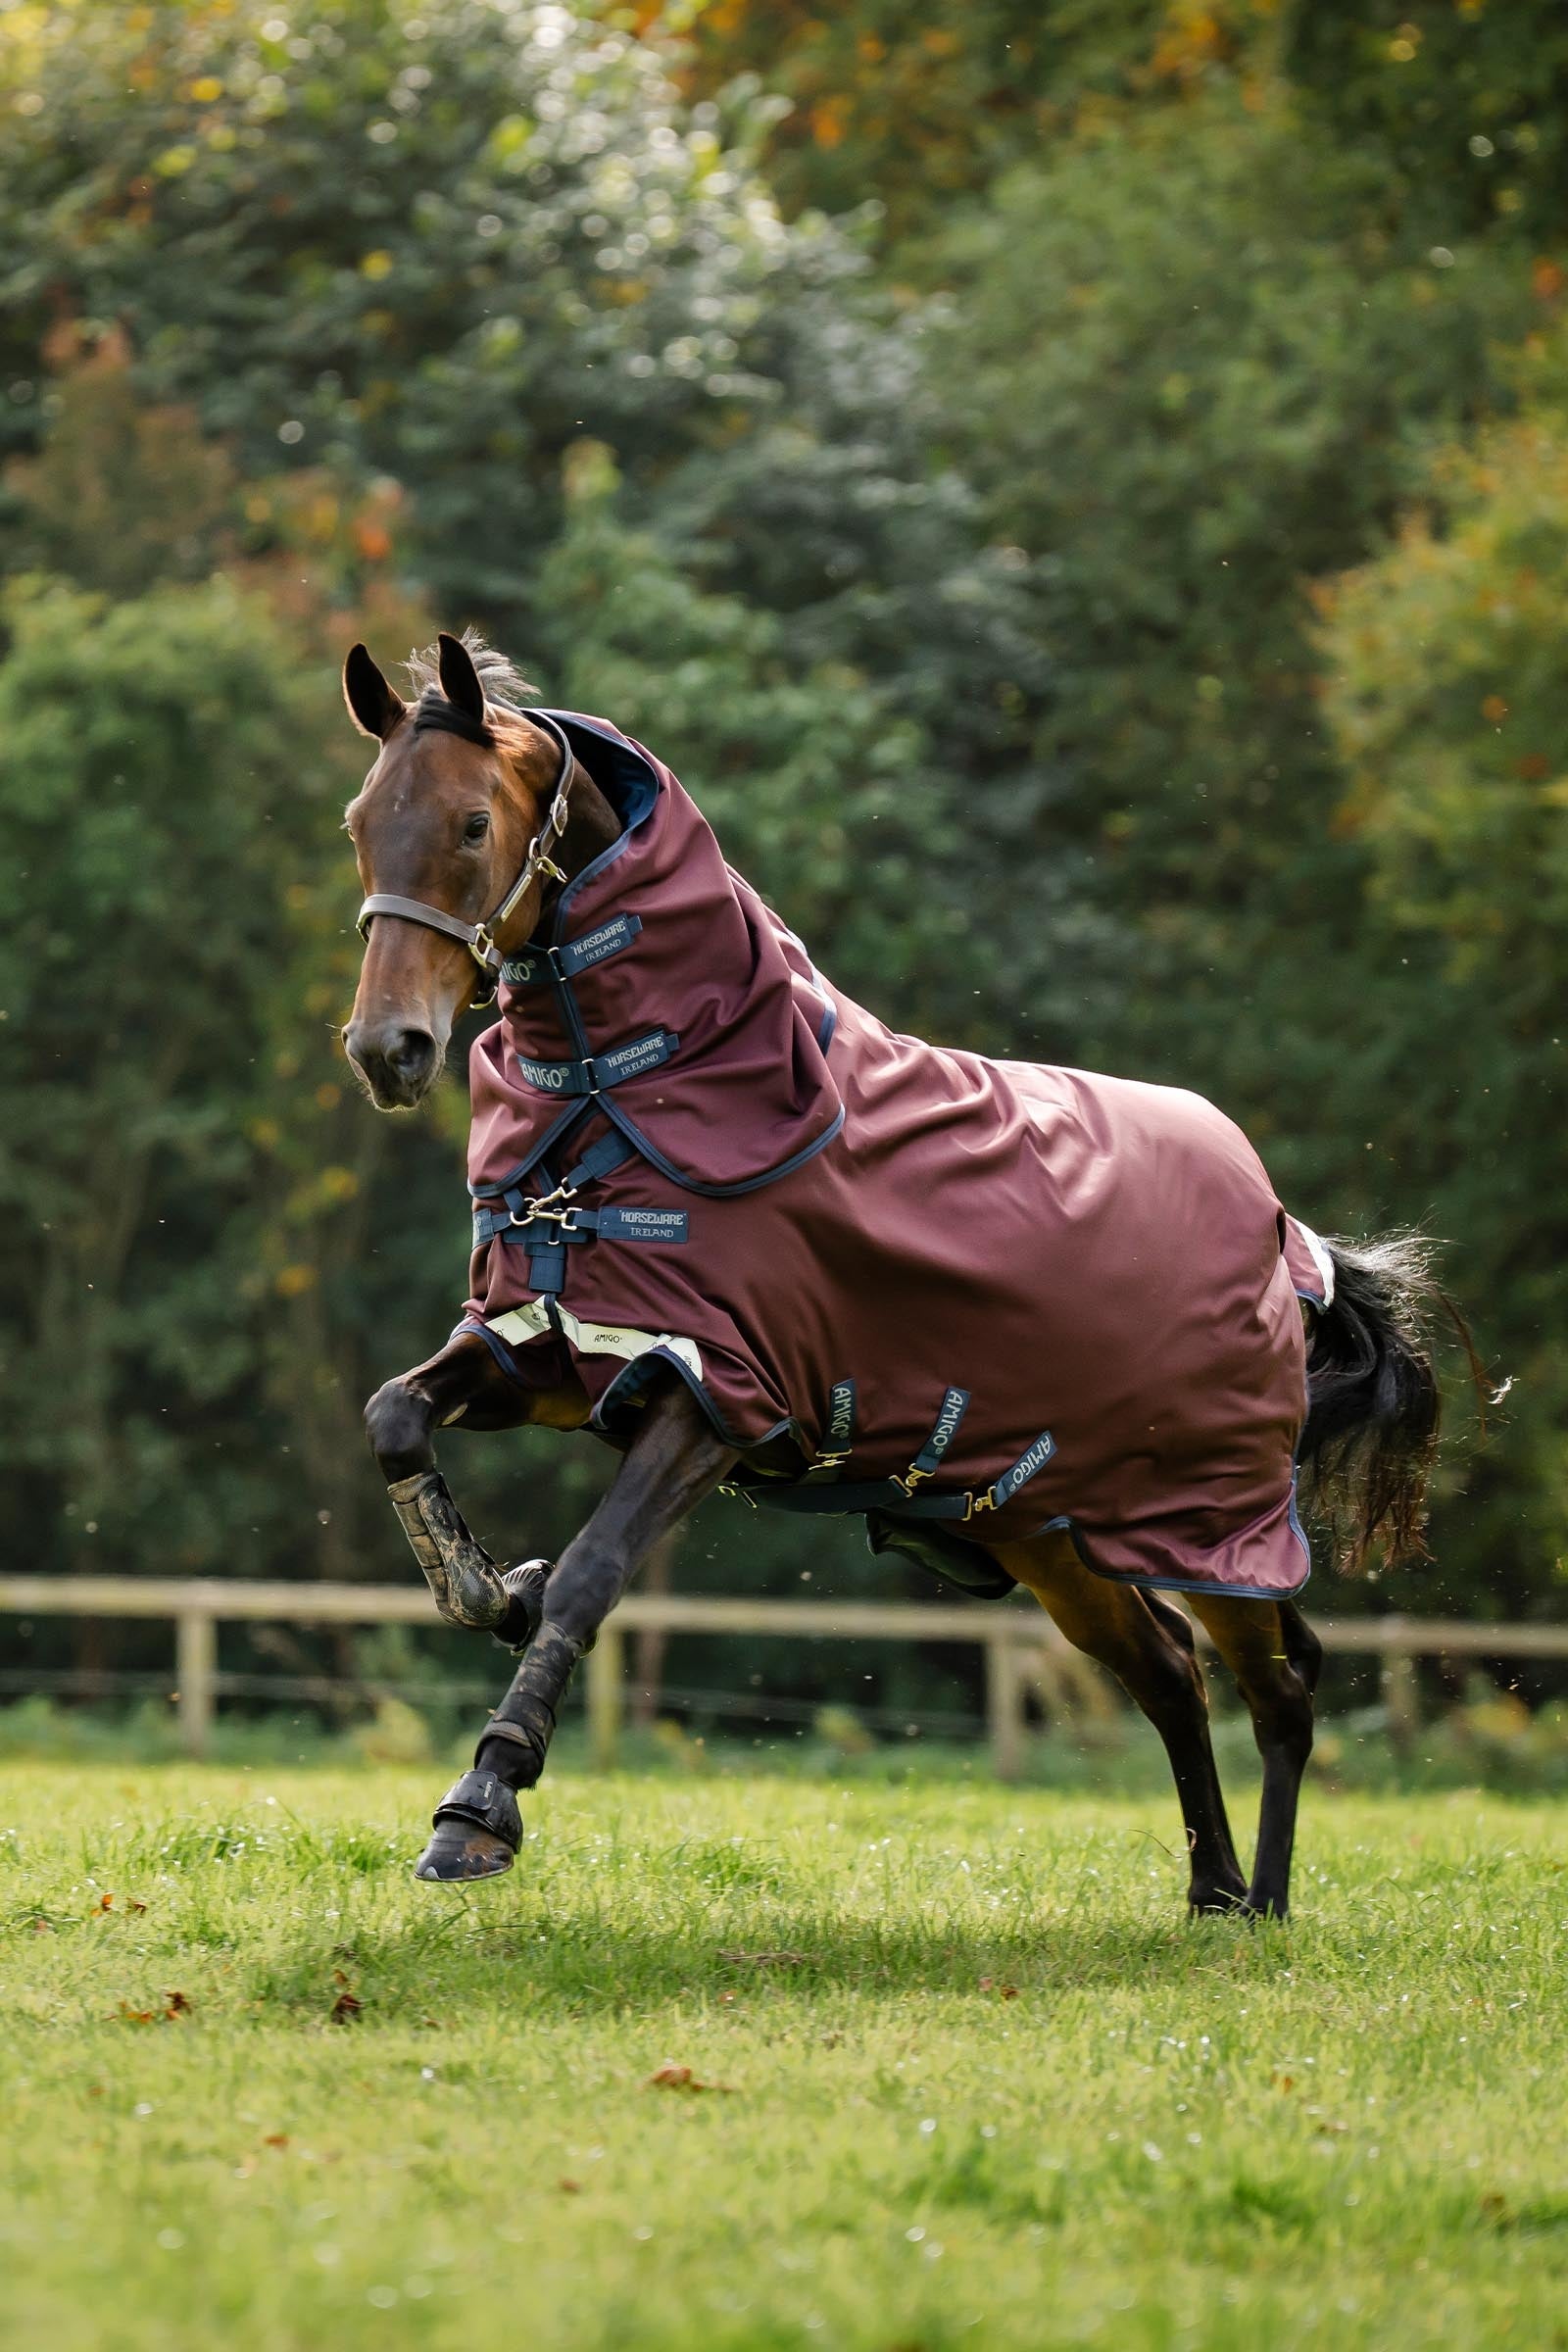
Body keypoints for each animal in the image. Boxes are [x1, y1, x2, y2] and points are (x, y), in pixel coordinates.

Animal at [341, 628, 1447, 1913]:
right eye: (361, 821)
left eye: (472, 824)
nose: (388, 1049)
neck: (622, 1094)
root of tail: (1284, 1235)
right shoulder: (555, 1349)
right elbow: (396, 1416)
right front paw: (487, 1586)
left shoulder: (717, 1397)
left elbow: (588, 1574)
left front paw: (481, 1806)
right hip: (1045, 1529)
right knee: (1169, 1673)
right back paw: (1212, 1890)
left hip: (1215, 1531)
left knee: (1281, 1684)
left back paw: (1261, 1904)